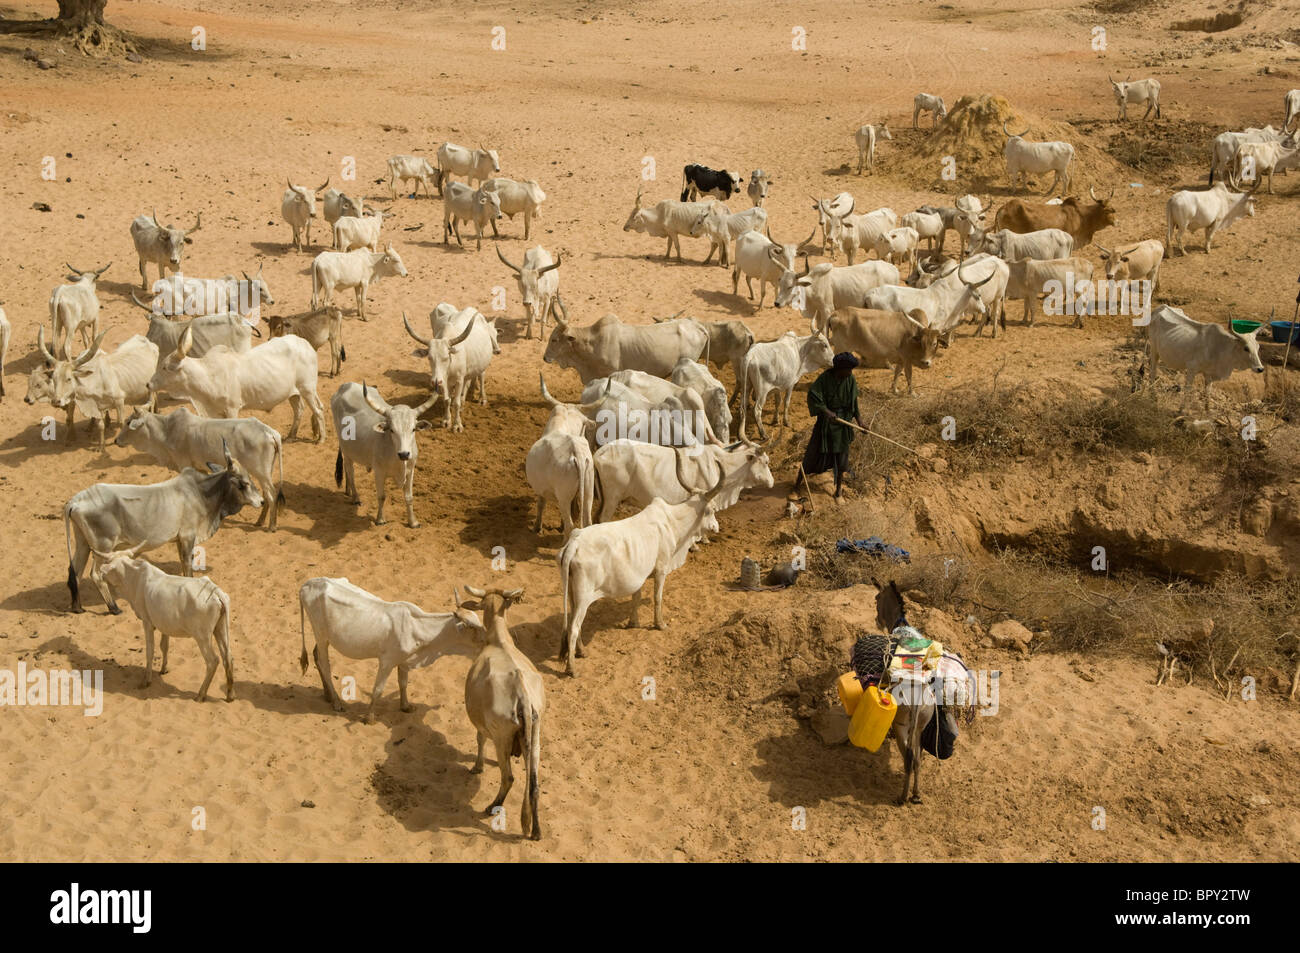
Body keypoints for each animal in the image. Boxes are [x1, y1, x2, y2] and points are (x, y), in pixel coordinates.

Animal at [87, 551, 235, 696]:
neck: (134, 578)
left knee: (213, 661)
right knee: (228, 657)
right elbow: (164, 646)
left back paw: (201, 694)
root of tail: (215, 592)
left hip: (202, 637)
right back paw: (230, 695)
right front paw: (164, 669)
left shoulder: (147, 622)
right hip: (220, 629)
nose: (102, 572)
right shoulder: (165, 625)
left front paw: (146, 681)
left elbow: (150, 651)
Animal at [147, 325, 327, 439]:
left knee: (318, 410)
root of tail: (305, 344)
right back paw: (291, 435)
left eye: (165, 367)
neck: (208, 375)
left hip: (307, 389)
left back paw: (321, 438)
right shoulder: (216, 413)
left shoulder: (232, 409)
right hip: (293, 393)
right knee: (299, 409)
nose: (148, 384)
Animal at [297, 572, 483, 722]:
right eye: (474, 628)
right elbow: (378, 689)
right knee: (324, 664)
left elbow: (403, 683)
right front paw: (369, 718)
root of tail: (309, 583)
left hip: (324, 637)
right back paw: (336, 701)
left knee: (316, 656)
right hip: (321, 634)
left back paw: (328, 695)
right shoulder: (387, 661)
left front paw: (406, 706)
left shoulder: (404, 660)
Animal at [330, 379, 436, 527]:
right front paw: (380, 519)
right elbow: (381, 496)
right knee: (350, 471)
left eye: (413, 429)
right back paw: (355, 497)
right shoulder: (379, 472)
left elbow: (409, 497)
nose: (404, 454)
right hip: (346, 451)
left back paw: (349, 491)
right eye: (391, 430)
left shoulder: (410, 470)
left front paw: (413, 522)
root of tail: (345, 386)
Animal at [553, 455, 728, 670]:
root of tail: (574, 543)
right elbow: (657, 597)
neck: (671, 522)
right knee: (574, 627)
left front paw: (633, 622)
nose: (716, 527)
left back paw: (582, 652)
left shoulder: (639, 574)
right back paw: (572, 668)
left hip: (572, 594)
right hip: (584, 597)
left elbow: (636, 597)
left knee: (571, 623)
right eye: (712, 509)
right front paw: (660, 624)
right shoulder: (661, 568)